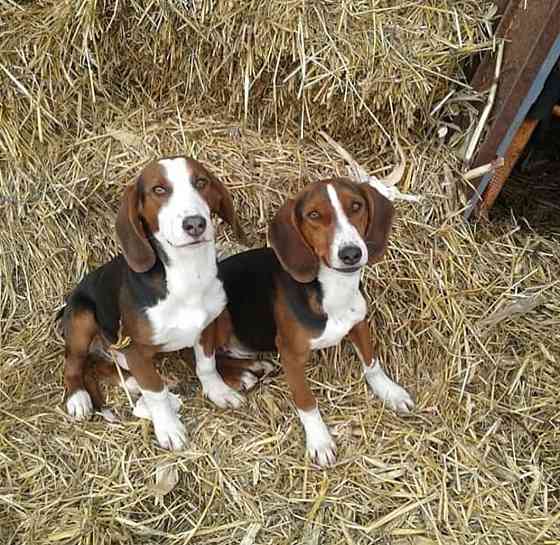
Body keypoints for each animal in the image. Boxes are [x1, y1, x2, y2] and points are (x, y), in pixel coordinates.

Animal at [57, 155, 247, 448]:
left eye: (201, 182)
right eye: (159, 190)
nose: (195, 224)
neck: (187, 274)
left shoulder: (206, 327)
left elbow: (207, 366)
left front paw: (219, 392)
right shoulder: (135, 349)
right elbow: (156, 392)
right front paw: (169, 428)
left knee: (100, 364)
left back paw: (131, 383)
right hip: (82, 318)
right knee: (74, 363)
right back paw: (78, 397)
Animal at [217, 180, 414, 468]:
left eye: (356, 206)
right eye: (314, 215)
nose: (351, 253)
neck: (334, 289)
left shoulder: (359, 323)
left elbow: (372, 364)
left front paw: (390, 392)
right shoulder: (290, 353)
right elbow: (306, 401)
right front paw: (319, 441)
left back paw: (253, 365)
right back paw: (241, 374)